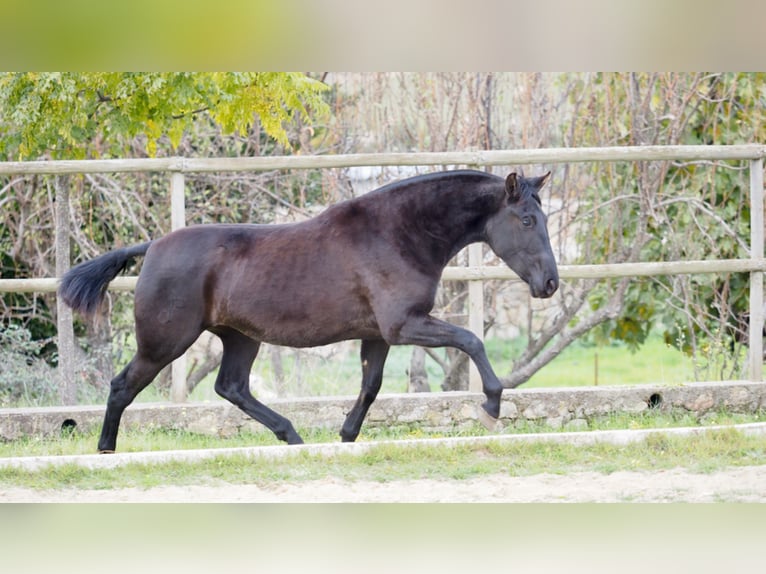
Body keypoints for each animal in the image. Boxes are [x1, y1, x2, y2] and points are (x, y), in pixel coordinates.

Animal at [60, 171, 560, 454]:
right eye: (527, 220)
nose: (550, 283)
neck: (398, 234)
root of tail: (152, 247)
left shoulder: (379, 334)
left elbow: (371, 386)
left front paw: (346, 436)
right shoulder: (404, 325)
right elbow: (471, 340)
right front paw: (491, 405)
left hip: (241, 337)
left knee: (231, 387)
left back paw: (293, 437)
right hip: (166, 341)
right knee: (122, 386)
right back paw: (105, 451)